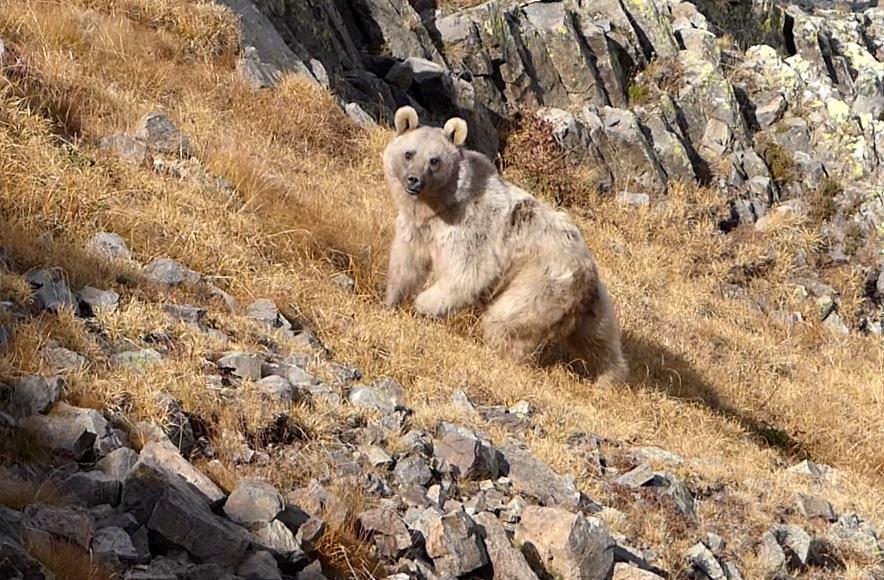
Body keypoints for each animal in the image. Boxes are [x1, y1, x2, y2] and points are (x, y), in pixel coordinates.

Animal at [384, 105, 624, 386]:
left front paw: (424, 305)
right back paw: (609, 377)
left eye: (435, 160)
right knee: (600, 341)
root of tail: (587, 273)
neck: (438, 206)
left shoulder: (470, 229)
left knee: (506, 320)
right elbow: (406, 263)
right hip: (593, 305)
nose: (414, 180)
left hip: (540, 285)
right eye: (409, 153)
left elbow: (467, 273)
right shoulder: (418, 229)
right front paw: (391, 299)